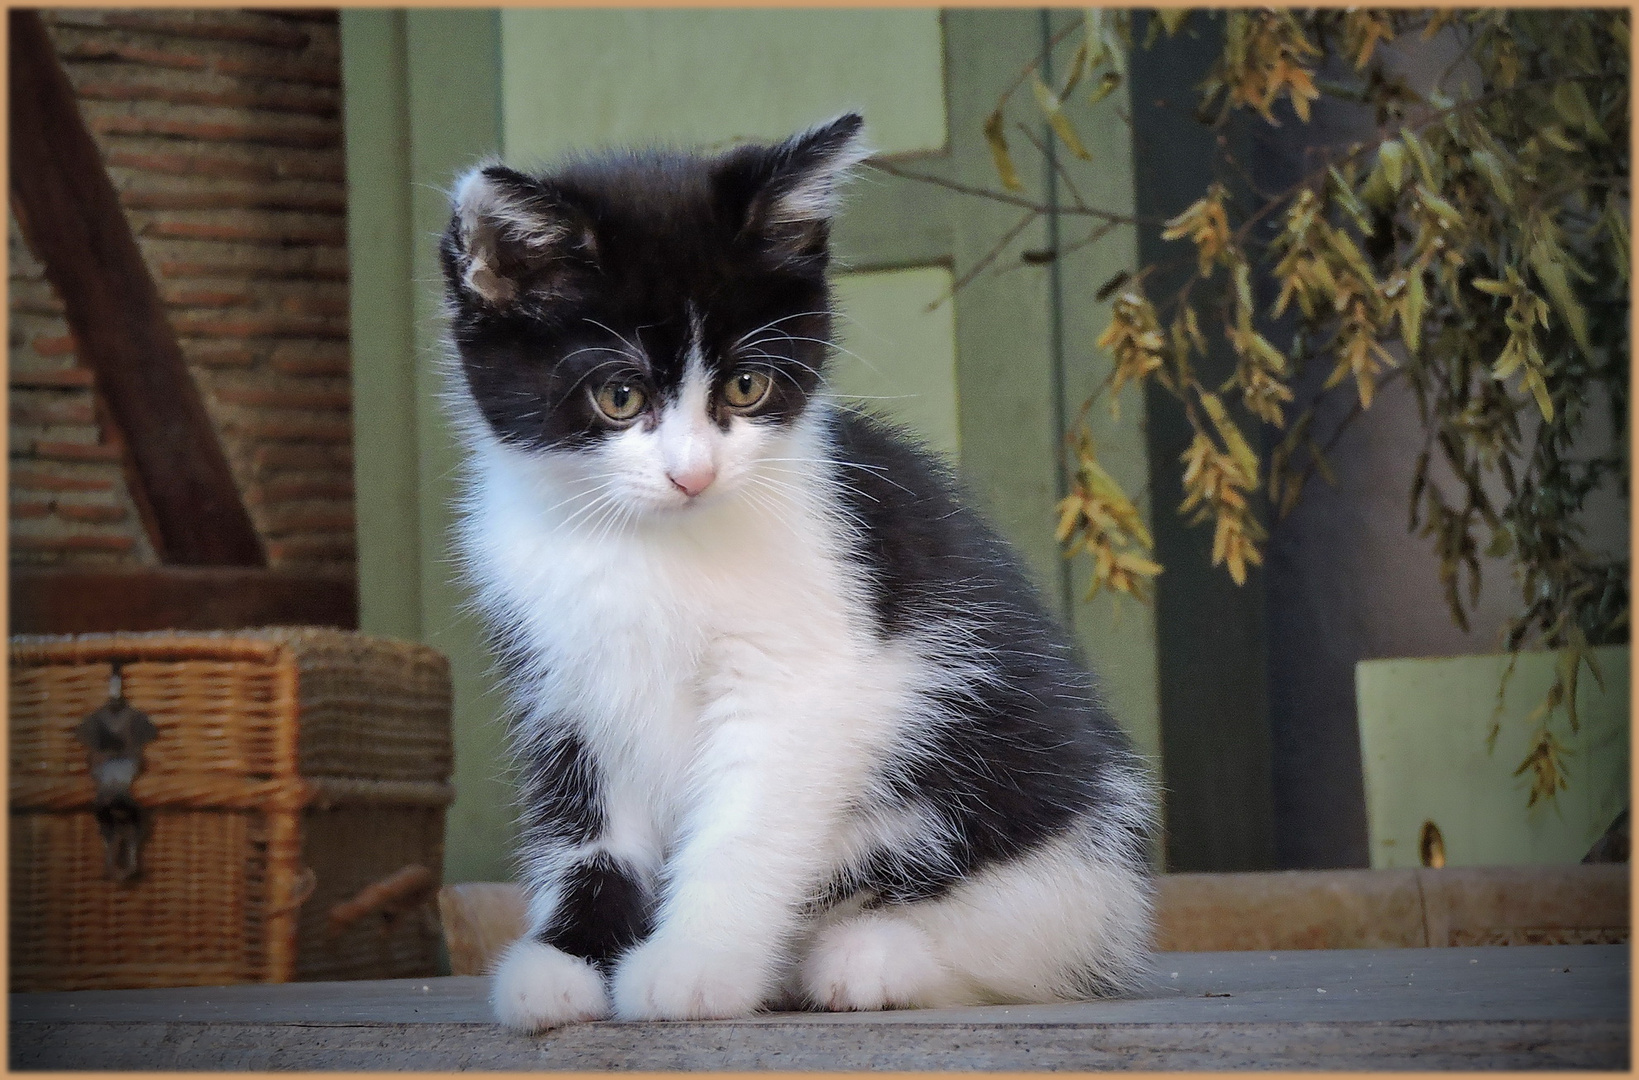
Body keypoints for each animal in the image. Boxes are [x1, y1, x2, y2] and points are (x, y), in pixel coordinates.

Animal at [435, 112, 1153, 1029]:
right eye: (619, 397)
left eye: (746, 386)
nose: (694, 474)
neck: (641, 545)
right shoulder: (562, 684)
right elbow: (587, 828)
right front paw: (566, 960)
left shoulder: (807, 673)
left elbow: (745, 823)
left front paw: (692, 963)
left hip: (1033, 816)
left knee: (1032, 929)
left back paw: (869, 955)